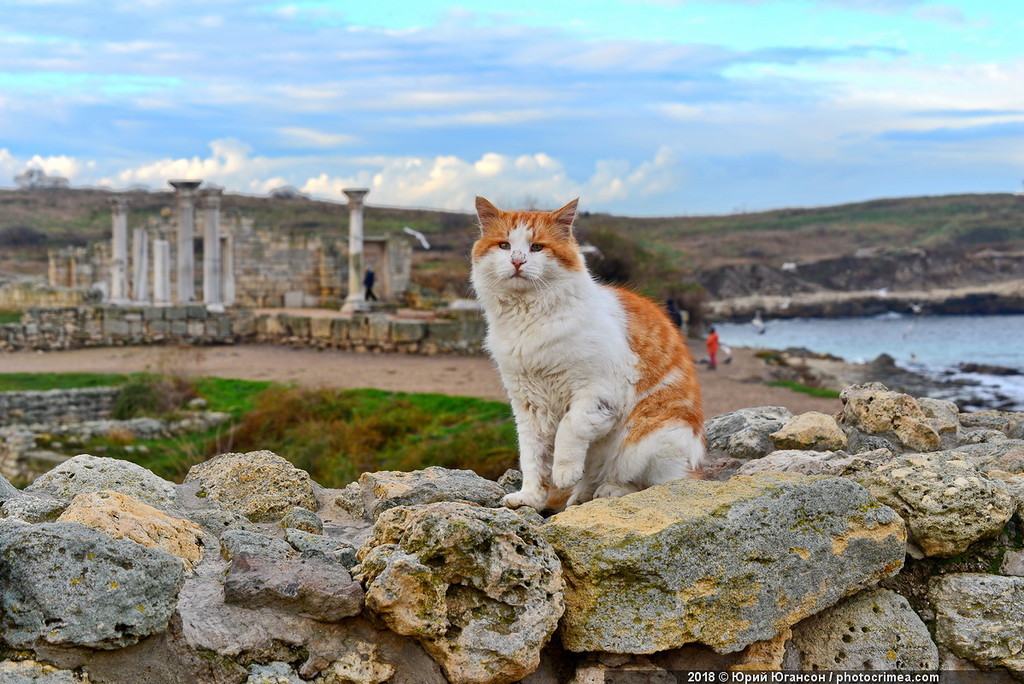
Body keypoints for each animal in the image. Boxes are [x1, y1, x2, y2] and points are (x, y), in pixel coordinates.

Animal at [468, 194, 704, 509]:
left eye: (537, 247)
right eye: (504, 246)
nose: (517, 260)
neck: (528, 319)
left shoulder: (598, 393)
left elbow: (570, 428)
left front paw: (564, 471)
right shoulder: (529, 406)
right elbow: (532, 458)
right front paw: (530, 497)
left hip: (652, 440)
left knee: (649, 483)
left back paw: (609, 489)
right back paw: (581, 495)